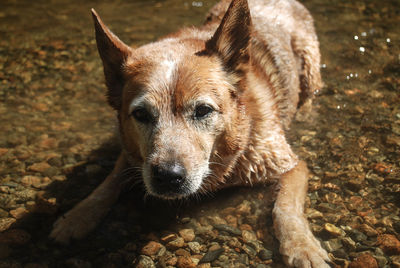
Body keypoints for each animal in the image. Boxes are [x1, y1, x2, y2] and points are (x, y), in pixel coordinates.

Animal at [50, 0, 330, 266]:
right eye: (141, 114)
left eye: (203, 110)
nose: (167, 176)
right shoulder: (131, 155)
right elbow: (108, 182)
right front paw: (76, 216)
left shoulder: (290, 165)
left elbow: (285, 207)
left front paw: (302, 247)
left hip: (309, 66)